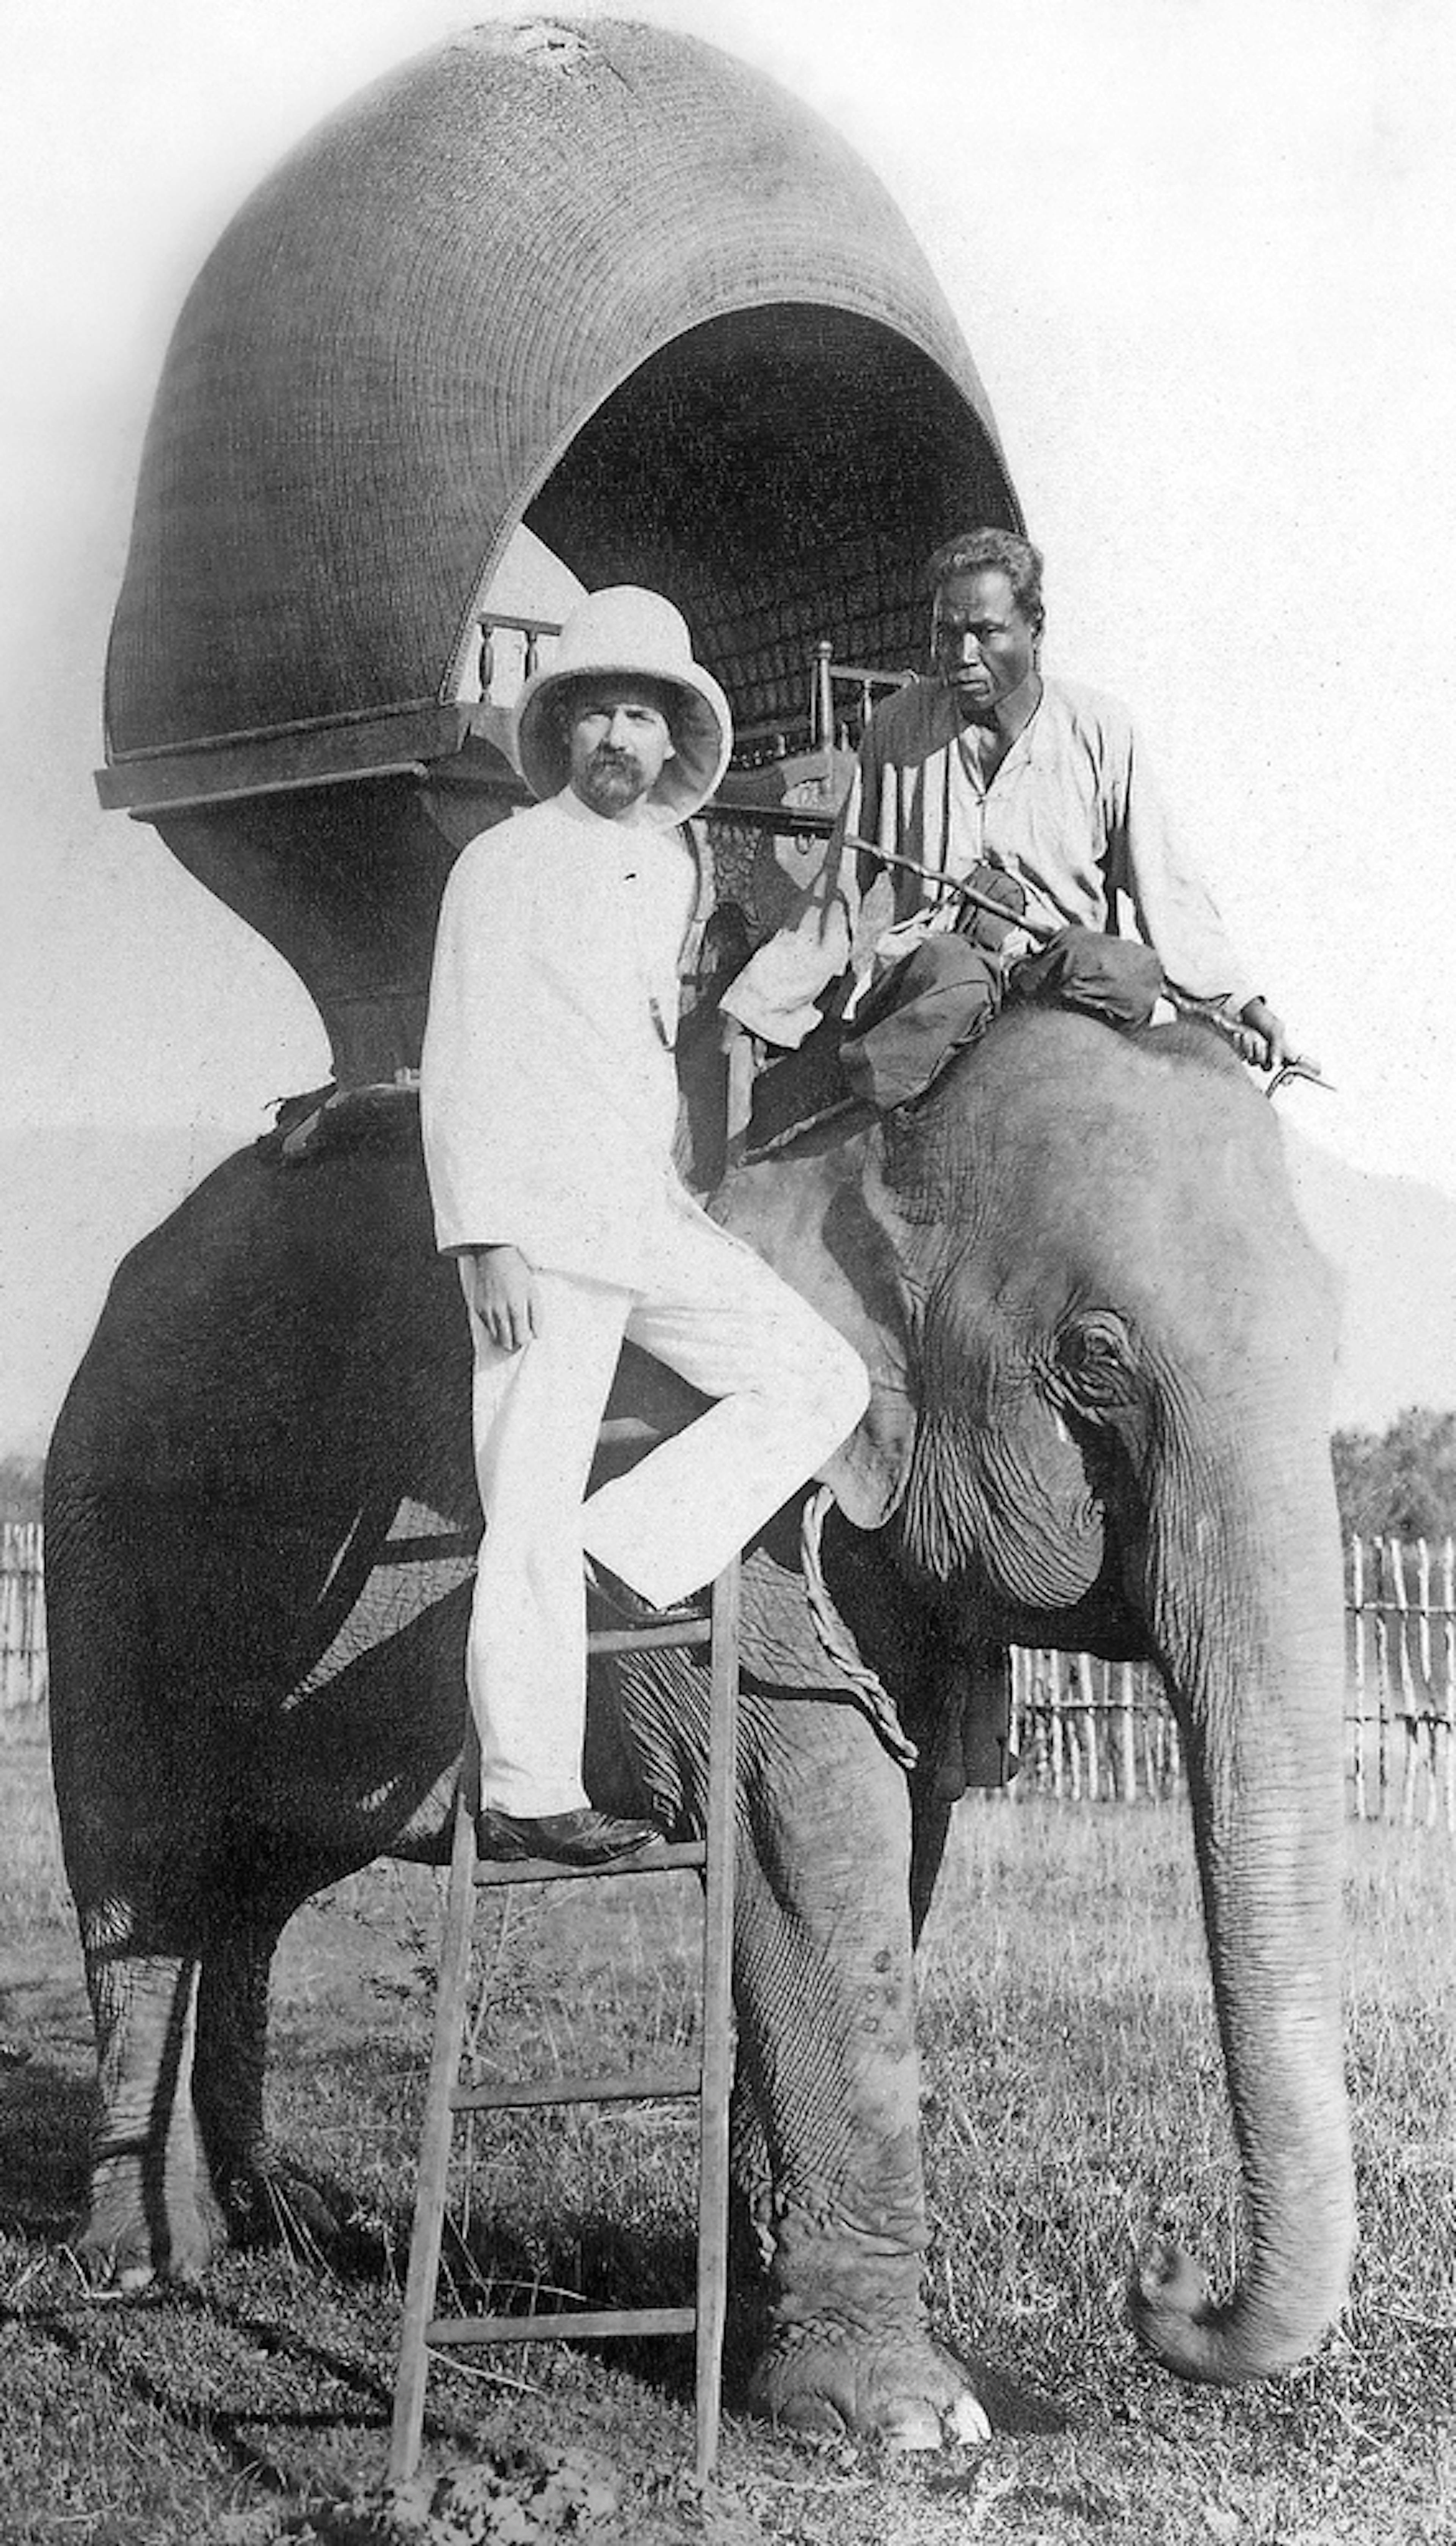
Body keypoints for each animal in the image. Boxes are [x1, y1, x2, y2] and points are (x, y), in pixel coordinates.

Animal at [42, 998, 1354, 2444]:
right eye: (1097, 1358)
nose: (1159, 2270)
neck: (858, 1127)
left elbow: (888, 1849)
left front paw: (776, 2340)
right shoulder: (701, 1481)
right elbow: (811, 1830)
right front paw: (908, 2418)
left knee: (256, 1888)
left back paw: (283, 2219)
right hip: (107, 1524)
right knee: (146, 1868)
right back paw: (144, 2263)